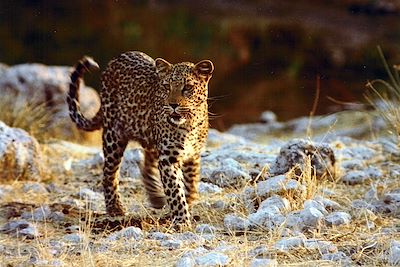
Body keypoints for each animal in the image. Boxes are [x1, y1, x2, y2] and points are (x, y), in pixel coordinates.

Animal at [67, 51, 214, 227]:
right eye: (166, 87)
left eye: (187, 88)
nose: (173, 105)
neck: (189, 124)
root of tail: (115, 60)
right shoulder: (168, 158)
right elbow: (175, 191)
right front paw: (181, 220)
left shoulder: (193, 155)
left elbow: (191, 184)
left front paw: (188, 203)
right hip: (113, 136)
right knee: (109, 173)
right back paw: (115, 207)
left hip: (150, 138)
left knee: (146, 164)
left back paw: (156, 197)